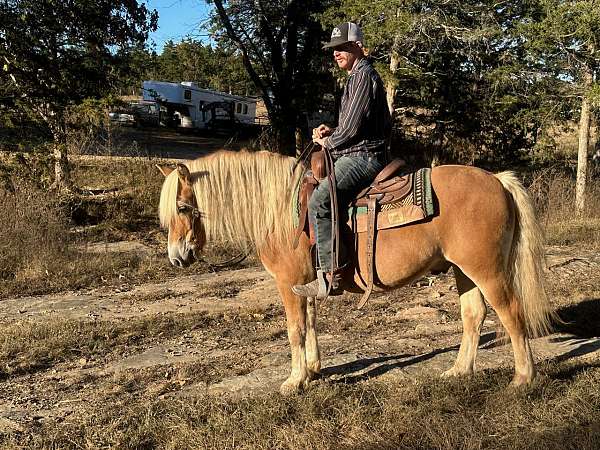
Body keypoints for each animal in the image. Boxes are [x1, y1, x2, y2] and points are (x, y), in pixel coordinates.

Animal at [157, 150, 556, 394]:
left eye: (182, 207)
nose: (176, 257)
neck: (281, 210)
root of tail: (497, 180)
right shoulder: (307, 283)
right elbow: (311, 323)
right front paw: (313, 369)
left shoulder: (289, 283)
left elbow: (295, 330)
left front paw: (294, 380)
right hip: (463, 271)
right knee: (473, 315)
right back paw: (458, 371)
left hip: (487, 271)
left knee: (512, 314)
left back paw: (523, 378)